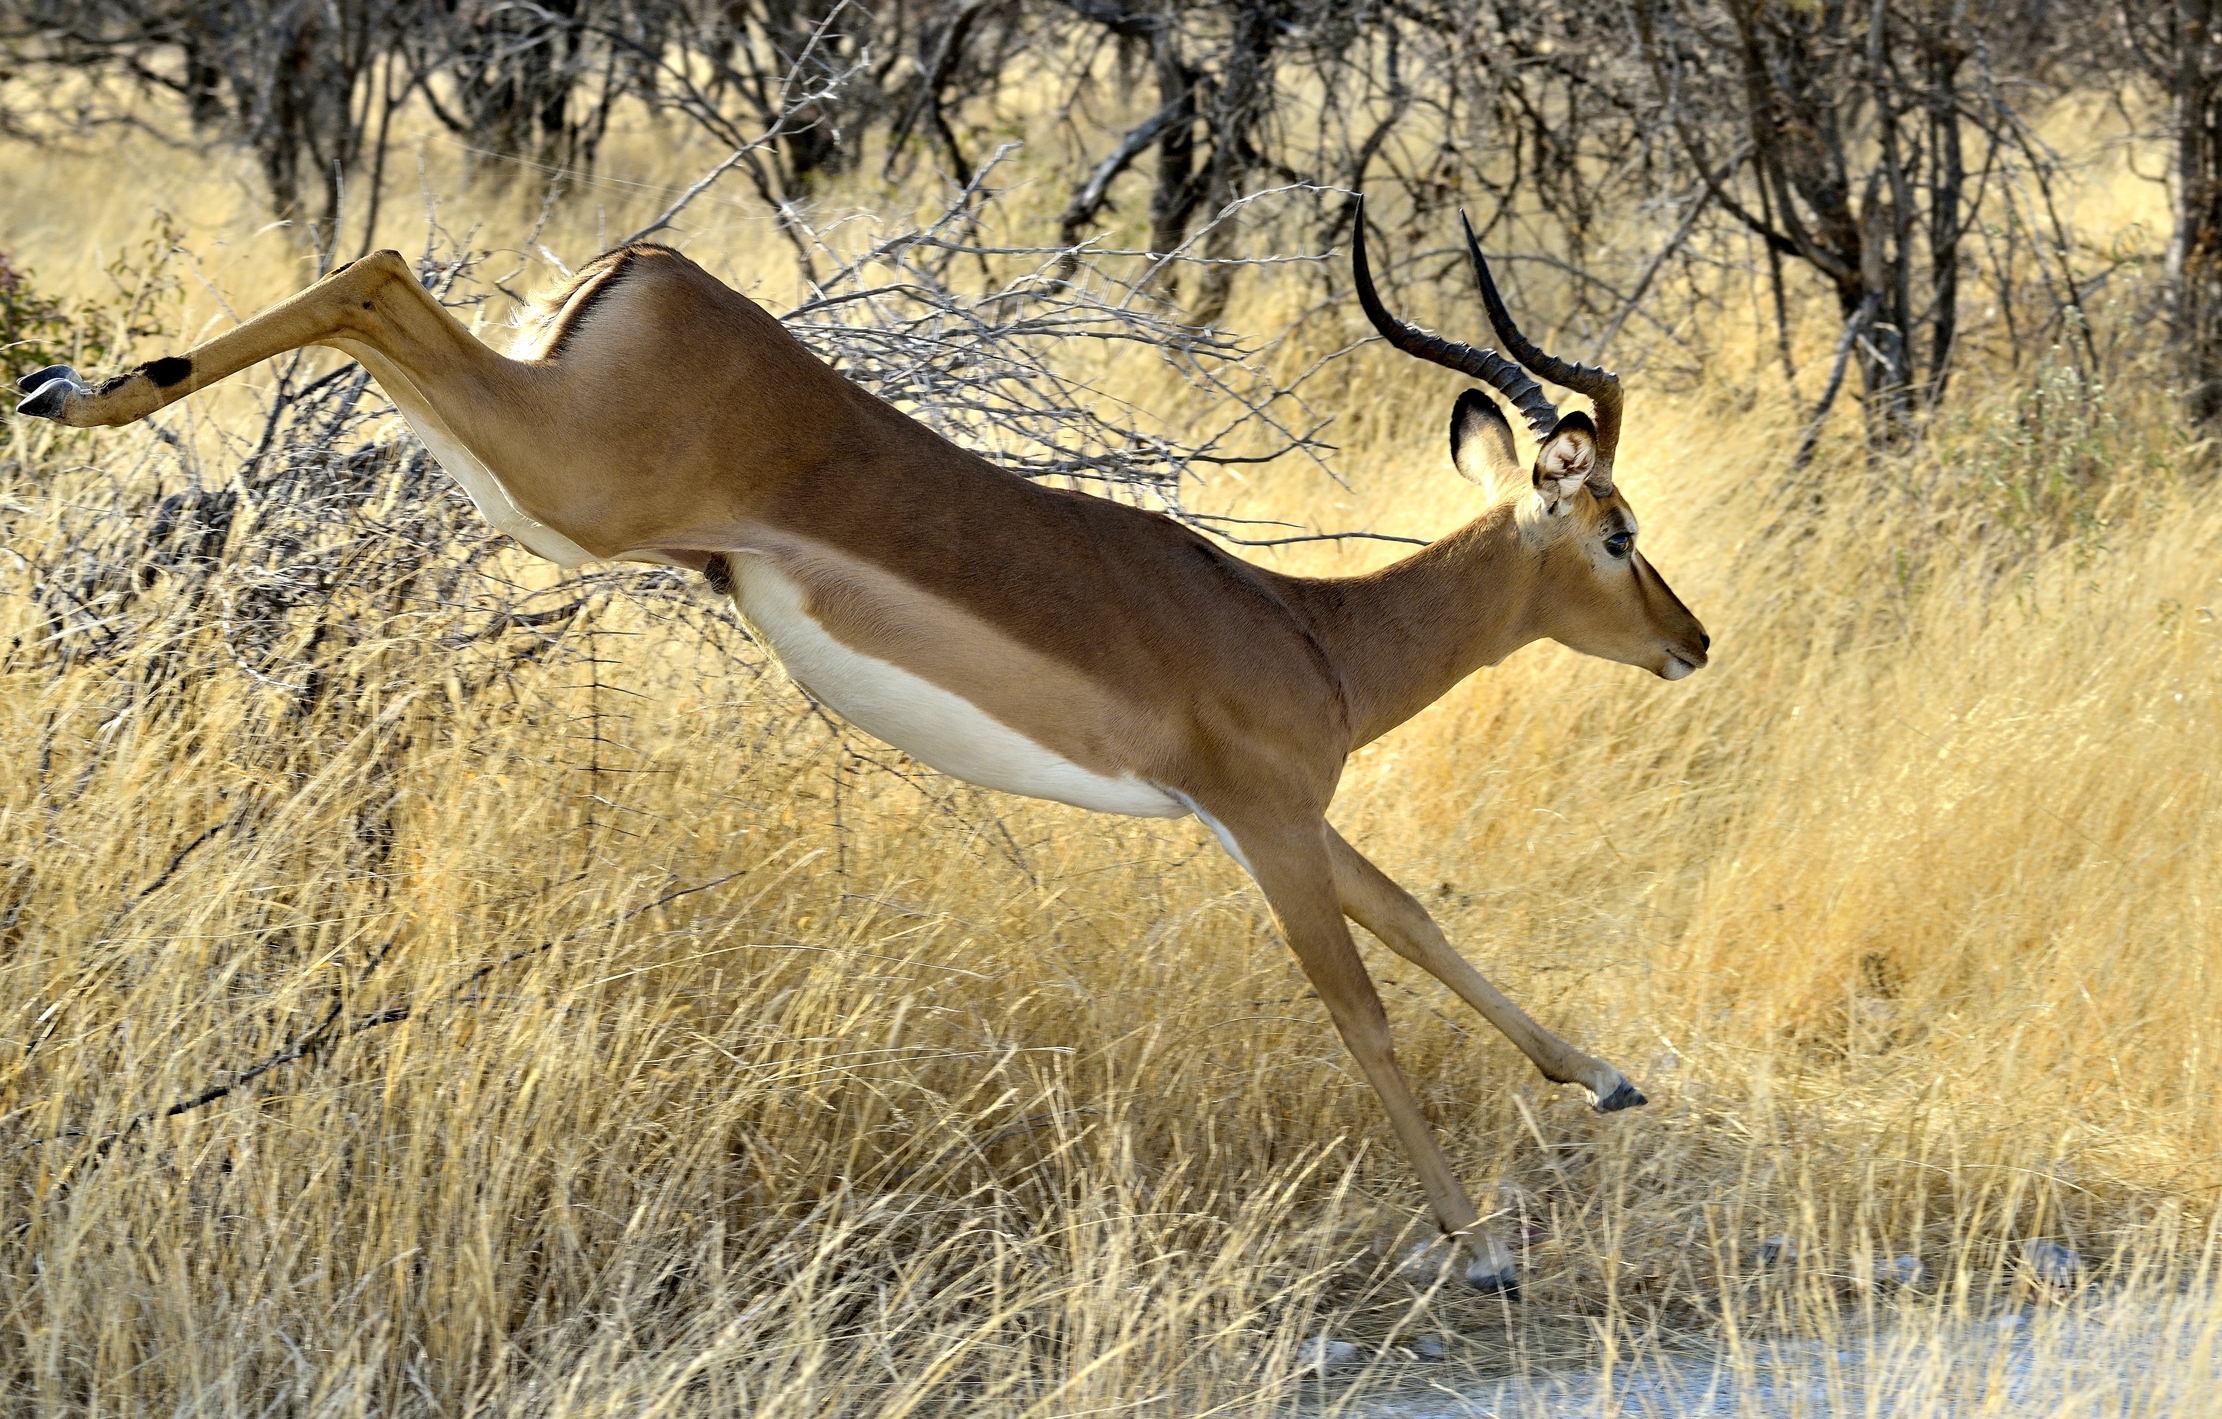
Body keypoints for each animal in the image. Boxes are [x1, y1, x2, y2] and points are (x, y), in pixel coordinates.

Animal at [13, 203, 1708, 1294]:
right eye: (1618, 529)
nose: (1690, 643)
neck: (1313, 635)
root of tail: (649, 267)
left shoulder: (1269, 817)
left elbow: (1415, 916)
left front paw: (1608, 1076)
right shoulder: (1267, 821)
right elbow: (1359, 1006)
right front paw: (1481, 1246)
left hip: (543, 483)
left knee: (376, 284)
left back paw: (74, 381)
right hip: (572, 483)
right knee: (372, 269)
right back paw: (82, 389)